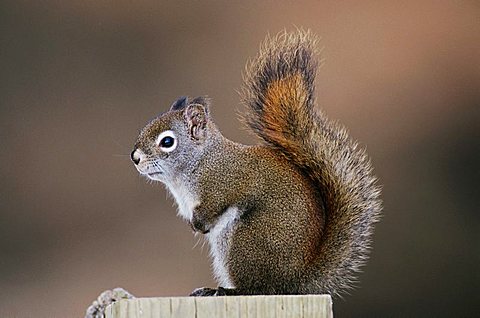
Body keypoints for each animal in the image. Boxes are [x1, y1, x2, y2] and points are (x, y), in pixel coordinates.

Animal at [85, 28, 378, 316]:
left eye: (167, 142)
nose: (135, 157)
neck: (198, 163)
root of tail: (296, 280)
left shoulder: (225, 184)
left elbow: (215, 204)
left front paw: (198, 224)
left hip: (243, 240)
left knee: (258, 288)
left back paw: (223, 291)